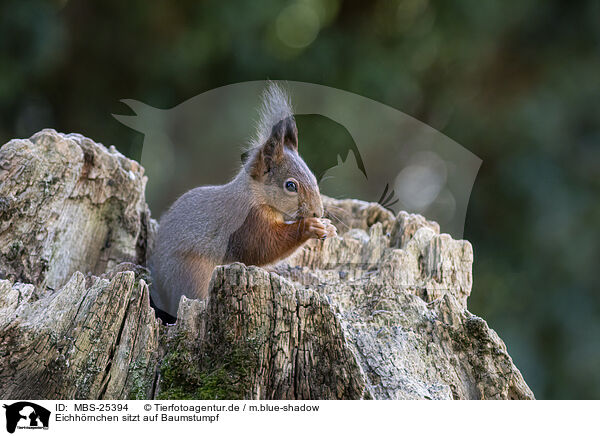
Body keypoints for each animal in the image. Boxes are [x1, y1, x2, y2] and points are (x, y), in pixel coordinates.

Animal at [149, 82, 338, 320]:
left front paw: (328, 227)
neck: (257, 197)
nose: (317, 212)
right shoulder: (247, 222)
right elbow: (263, 247)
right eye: (290, 186)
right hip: (192, 273)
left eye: (313, 177)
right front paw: (310, 227)